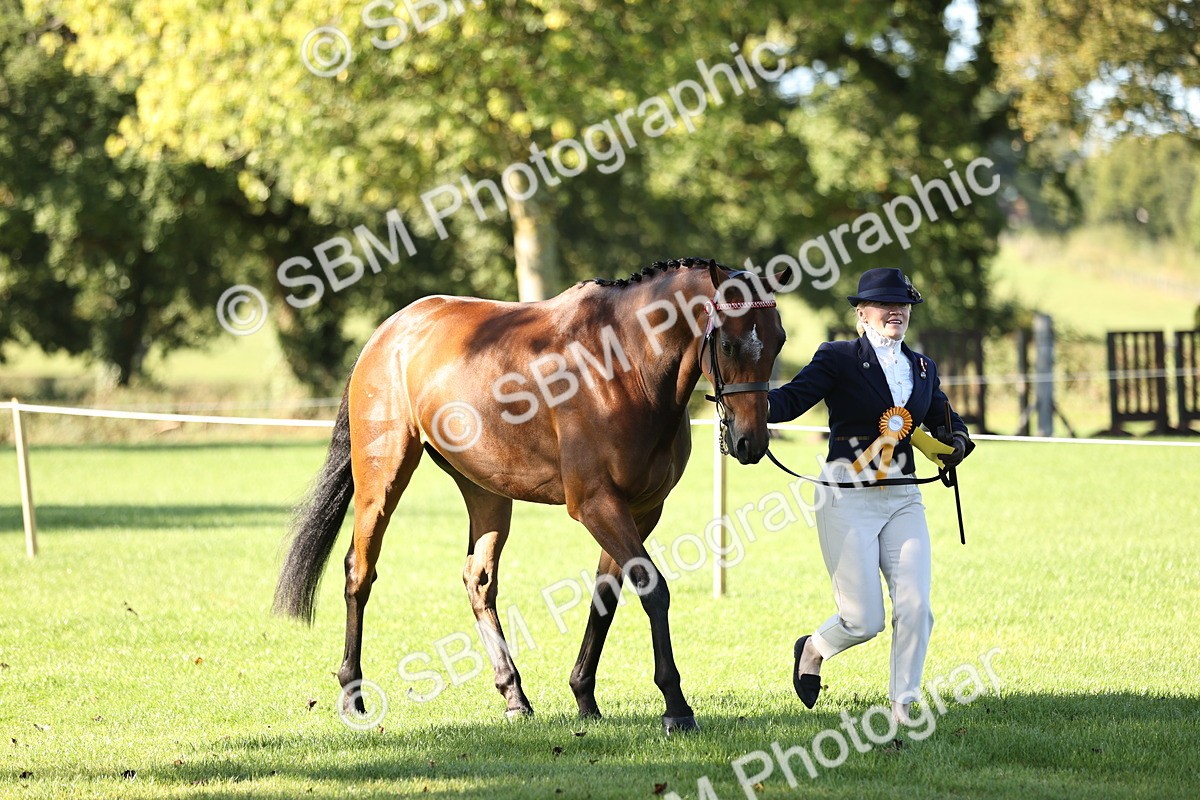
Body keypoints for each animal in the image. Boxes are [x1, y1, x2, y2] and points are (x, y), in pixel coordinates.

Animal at [272, 257, 789, 733]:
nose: (750, 442)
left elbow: (606, 595)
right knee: (359, 572)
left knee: (479, 581)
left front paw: (584, 695)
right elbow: (651, 588)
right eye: (728, 343)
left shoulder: (641, 511)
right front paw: (676, 707)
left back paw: (514, 695)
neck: (623, 368)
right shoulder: (597, 505)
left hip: (485, 492)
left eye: (779, 339)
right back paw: (352, 695)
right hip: (382, 481)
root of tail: (388, 333)